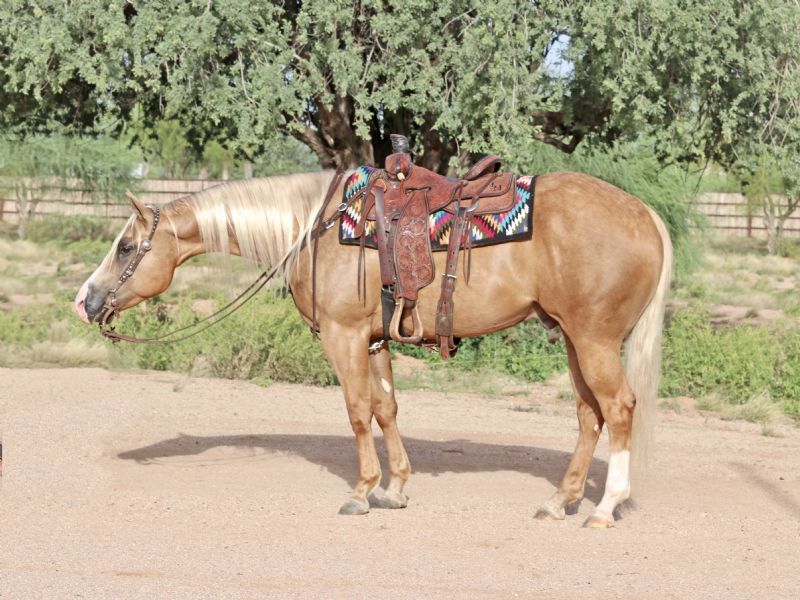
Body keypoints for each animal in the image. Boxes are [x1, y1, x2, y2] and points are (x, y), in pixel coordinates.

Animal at [74, 169, 672, 528]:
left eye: (125, 246)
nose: (85, 300)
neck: (316, 228)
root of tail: (644, 213)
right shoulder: (375, 338)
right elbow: (386, 408)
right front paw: (394, 488)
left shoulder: (344, 336)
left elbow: (358, 411)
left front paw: (361, 492)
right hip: (572, 337)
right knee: (589, 416)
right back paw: (559, 501)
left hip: (594, 340)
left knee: (619, 409)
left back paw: (604, 507)